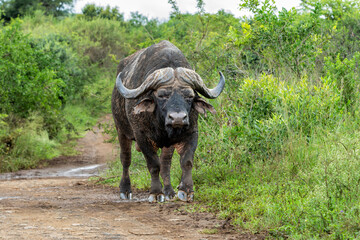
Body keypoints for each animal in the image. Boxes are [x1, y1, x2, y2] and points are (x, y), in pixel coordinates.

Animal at [112, 40, 225, 202]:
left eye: (189, 96)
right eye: (162, 95)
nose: (177, 118)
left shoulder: (192, 133)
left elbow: (186, 162)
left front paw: (186, 190)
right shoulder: (141, 136)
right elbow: (153, 165)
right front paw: (155, 193)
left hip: (168, 144)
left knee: (166, 163)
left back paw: (169, 191)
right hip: (121, 130)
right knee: (126, 159)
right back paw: (125, 190)